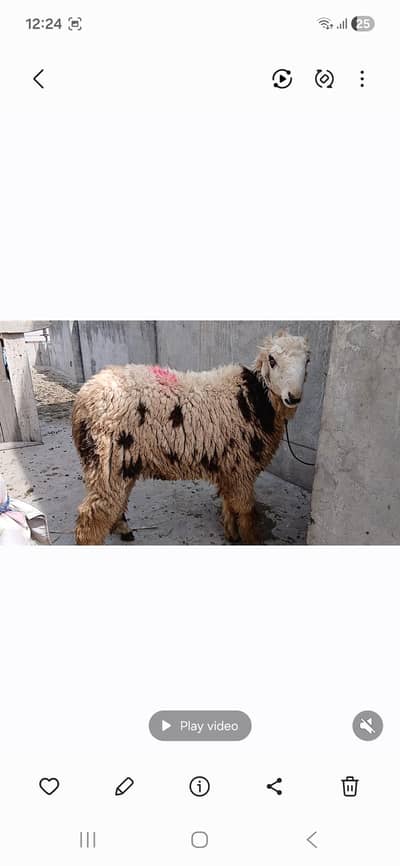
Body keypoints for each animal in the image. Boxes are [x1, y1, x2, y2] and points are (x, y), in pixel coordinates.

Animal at [72, 330, 310, 545]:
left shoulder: (229, 466)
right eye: (272, 360)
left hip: (123, 461)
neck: (255, 398)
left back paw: (123, 528)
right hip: (106, 458)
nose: (293, 397)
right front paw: (251, 540)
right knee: (91, 518)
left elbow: (229, 504)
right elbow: (247, 512)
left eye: (307, 361)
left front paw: (231, 534)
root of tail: (83, 397)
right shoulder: (241, 467)